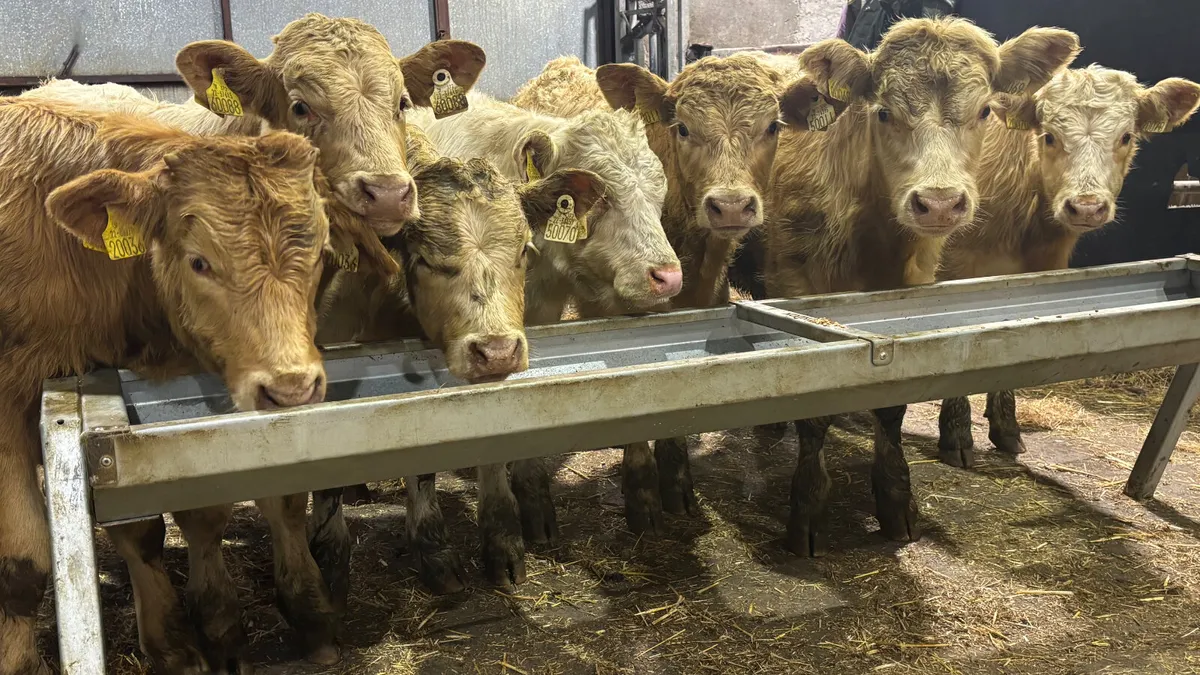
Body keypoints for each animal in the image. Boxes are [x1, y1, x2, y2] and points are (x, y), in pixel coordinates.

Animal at [0, 98, 390, 675]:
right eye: (199, 261)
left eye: (322, 250)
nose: (292, 388)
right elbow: (24, 561)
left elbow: (204, 512)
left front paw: (233, 624)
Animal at [748, 18, 1079, 558]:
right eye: (883, 112)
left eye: (984, 110)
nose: (940, 202)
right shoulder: (795, 285)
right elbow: (812, 414)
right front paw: (807, 509)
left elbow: (892, 408)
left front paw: (895, 499)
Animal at [934, 66, 1200, 468]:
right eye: (1049, 136)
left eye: (1126, 136)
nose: (1086, 206)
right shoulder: (954, 270)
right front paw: (957, 435)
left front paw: (1006, 427)